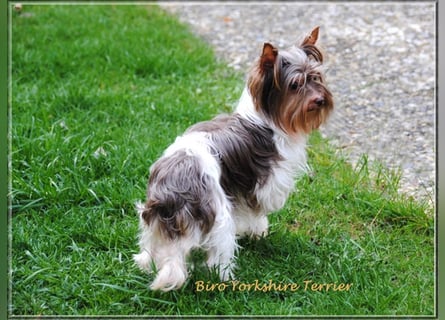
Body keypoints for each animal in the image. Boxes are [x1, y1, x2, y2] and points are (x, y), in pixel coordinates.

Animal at [134, 26, 332, 292]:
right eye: (294, 85)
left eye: (316, 78)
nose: (320, 100)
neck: (263, 121)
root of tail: (171, 195)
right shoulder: (261, 185)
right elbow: (255, 212)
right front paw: (259, 230)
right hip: (218, 217)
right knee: (218, 255)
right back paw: (225, 278)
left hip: (151, 221)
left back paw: (147, 264)